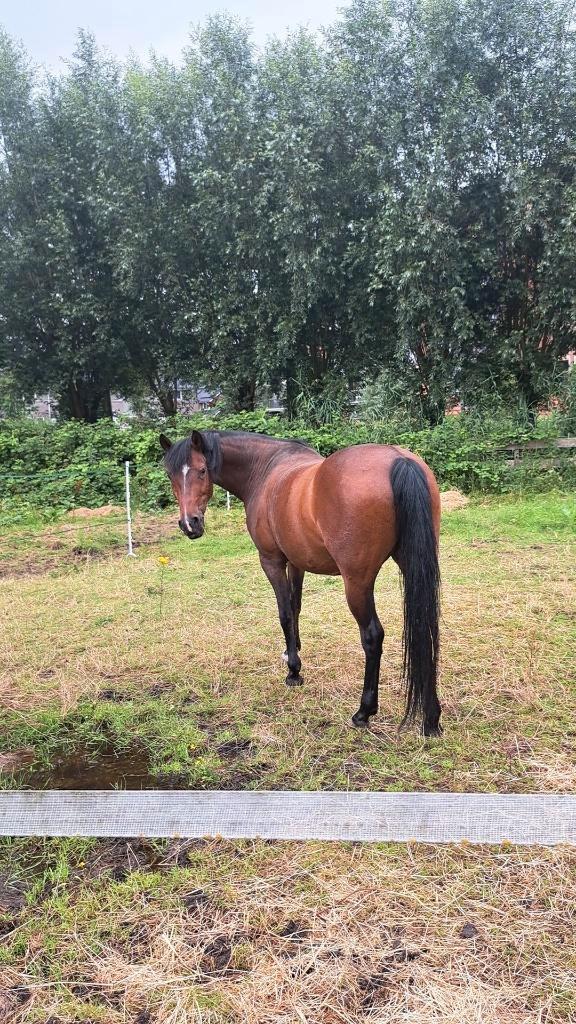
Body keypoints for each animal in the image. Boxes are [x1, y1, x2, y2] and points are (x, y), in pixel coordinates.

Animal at [160, 429, 442, 735]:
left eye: (202, 470)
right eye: (170, 475)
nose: (190, 524)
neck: (264, 470)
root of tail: (399, 459)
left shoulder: (271, 561)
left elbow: (284, 612)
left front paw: (293, 671)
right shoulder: (296, 562)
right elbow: (296, 608)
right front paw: (292, 650)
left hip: (357, 583)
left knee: (372, 636)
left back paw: (364, 712)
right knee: (425, 627)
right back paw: (431, 717)